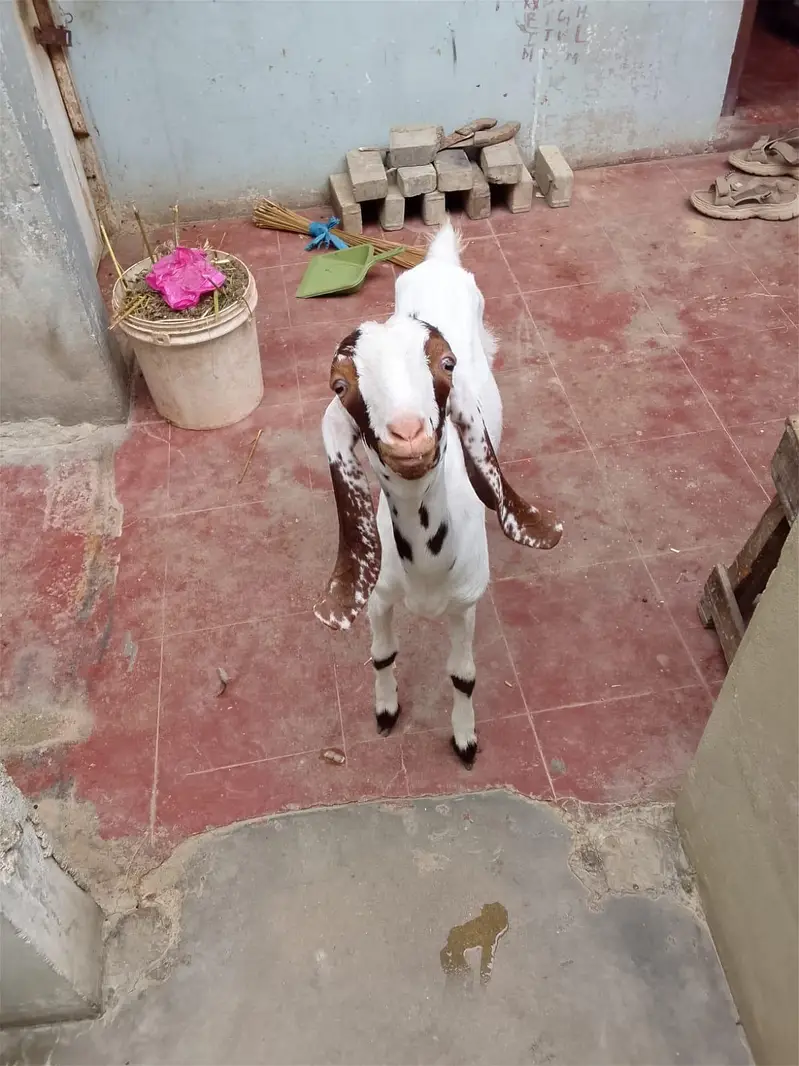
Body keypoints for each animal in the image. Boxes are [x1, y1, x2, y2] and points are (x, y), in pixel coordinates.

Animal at [314, 220, 562, 764]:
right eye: (341, 386)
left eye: (446, 364)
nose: (409, 434)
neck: (425, 572)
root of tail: (440, 261)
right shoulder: (379, 596)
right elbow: (382, 655)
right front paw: (386, 711)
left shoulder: (464, 607)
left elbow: (463, 676)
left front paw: (465, 739)